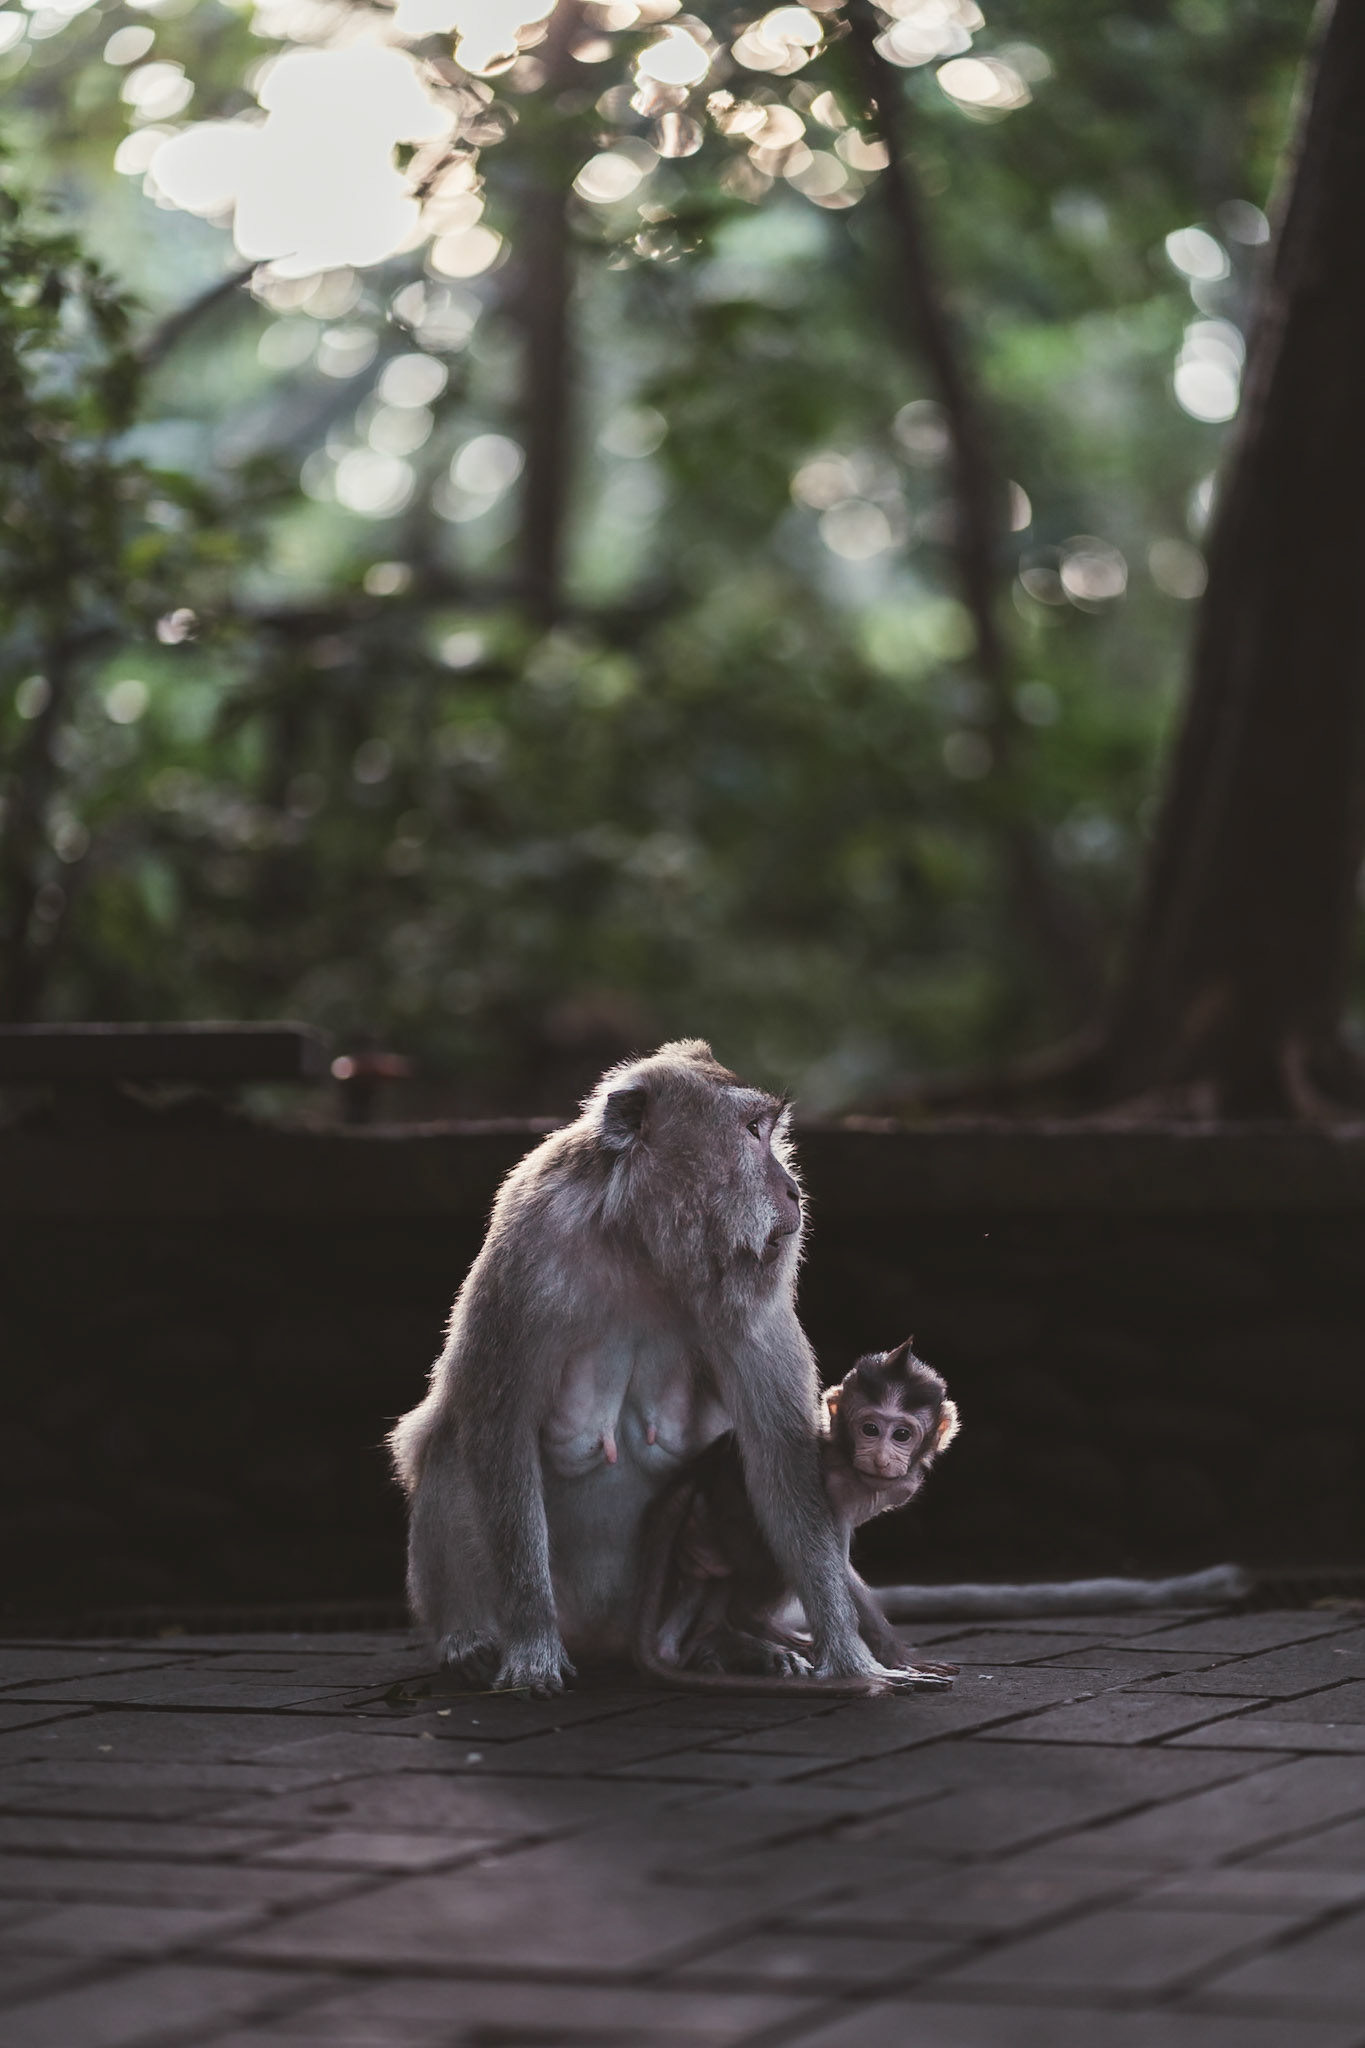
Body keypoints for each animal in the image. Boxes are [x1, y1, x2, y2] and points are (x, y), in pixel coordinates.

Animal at [388, 1041, 897, 1696]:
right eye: (752, 1131)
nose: (793, 1192)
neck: (642, 1247)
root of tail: (614, 1640)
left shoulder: (751, 1300)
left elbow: (780, 1457)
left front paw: (847, 1652)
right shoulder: (527, 1254)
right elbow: (500, 1434)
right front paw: (530, 1646)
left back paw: (731, 1643)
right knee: (457, 1445)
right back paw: (468, 1640)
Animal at [632, 1339, 961, 1693]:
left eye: (902, 1435)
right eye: (870, 1429)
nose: (881, 1457)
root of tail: (696, 1474)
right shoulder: (837, 1486)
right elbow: (832, 1559)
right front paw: (893, 1660)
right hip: (727, 1524)